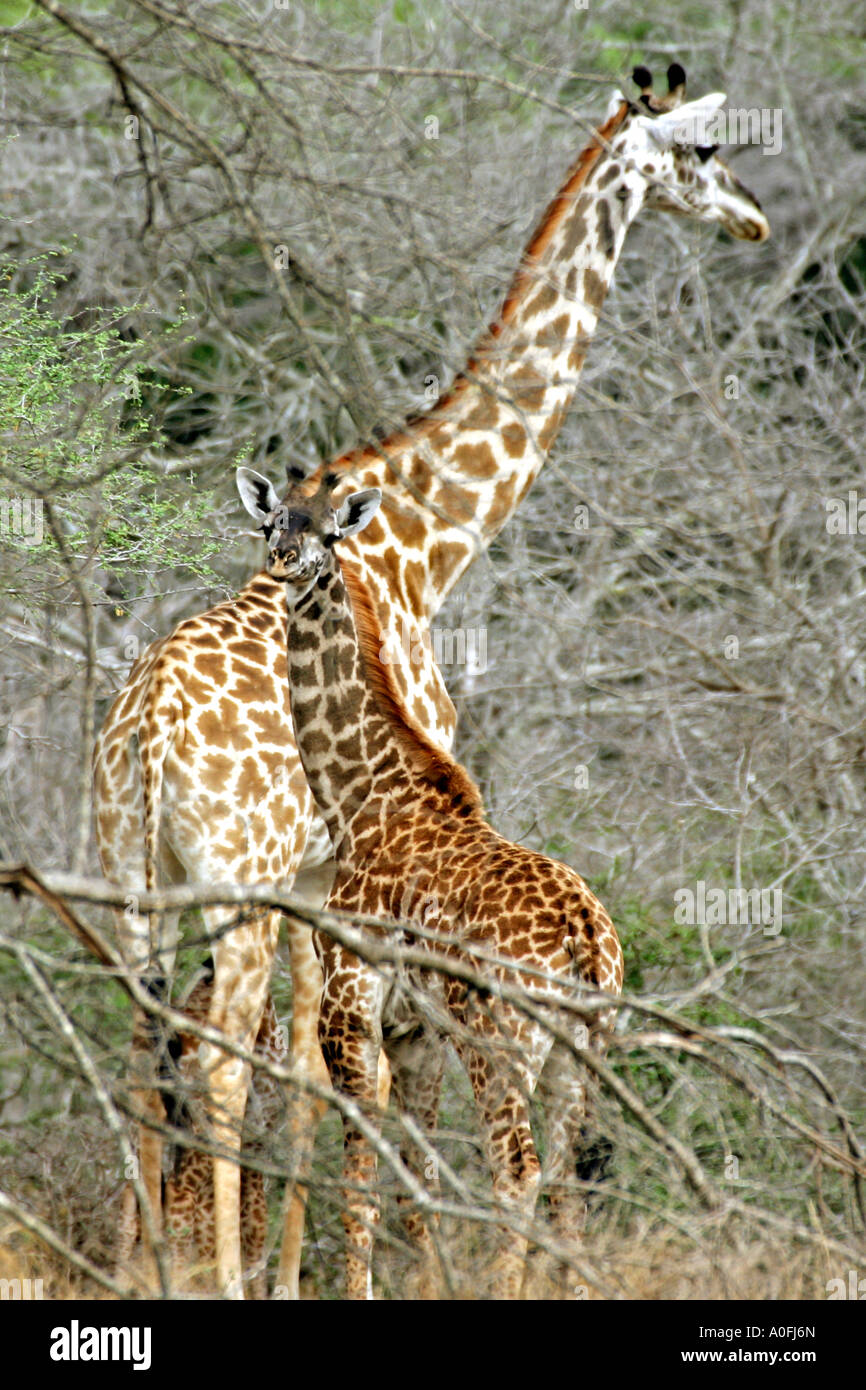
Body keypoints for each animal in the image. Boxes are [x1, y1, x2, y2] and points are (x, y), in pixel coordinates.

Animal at [257, 472, 622, 1295]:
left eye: (329, 530)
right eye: (269, 521)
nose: (286, 559)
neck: (360, 797)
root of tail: (588, 938)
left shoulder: (350, 1005)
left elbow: (362, 1175)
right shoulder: (414, 1033)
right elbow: (414, 1186)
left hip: (499, 1040)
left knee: (517, 1170)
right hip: (579, 1053)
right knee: (568, 1183)